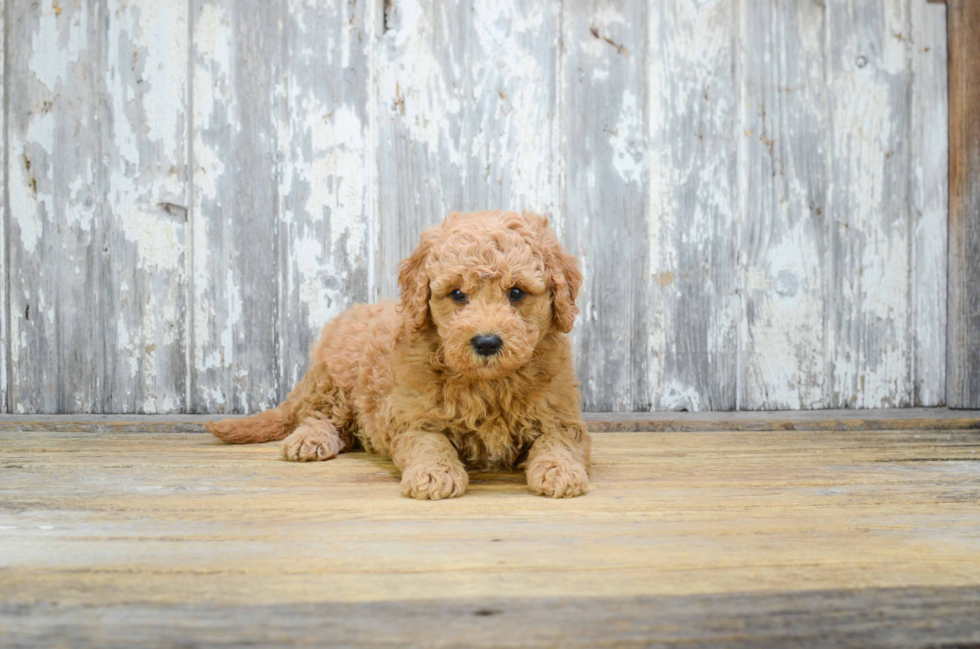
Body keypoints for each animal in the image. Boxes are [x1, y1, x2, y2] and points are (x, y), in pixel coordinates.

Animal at [208, 210, 588, 498]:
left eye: (517, 292)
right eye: (458, 294)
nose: (486, 342)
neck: (488, 383)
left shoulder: (562, 418)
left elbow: (558, 442)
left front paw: (561, 471)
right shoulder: (412, 418)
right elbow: (430, 444)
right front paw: (434, 474)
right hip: (337, 378)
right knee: (318, 416)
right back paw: (309, 439)